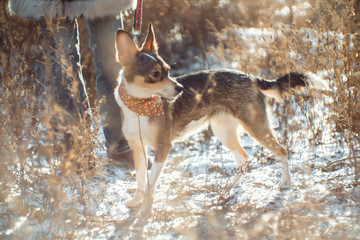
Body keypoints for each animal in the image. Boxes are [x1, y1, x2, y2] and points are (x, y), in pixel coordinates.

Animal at [114, 23, 328, 216]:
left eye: (168, 70)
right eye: (155, 74)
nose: (180, 89)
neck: (139, 107)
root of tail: (251, 77)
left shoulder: (163, 147)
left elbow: (150, 184)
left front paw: (146, 210)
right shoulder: (138, 148)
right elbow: (141, 180)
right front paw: (136, 201)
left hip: (255, 127)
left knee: (281, 151)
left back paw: (286, 182)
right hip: (224, 132)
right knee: (244, 157)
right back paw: (229, 187)